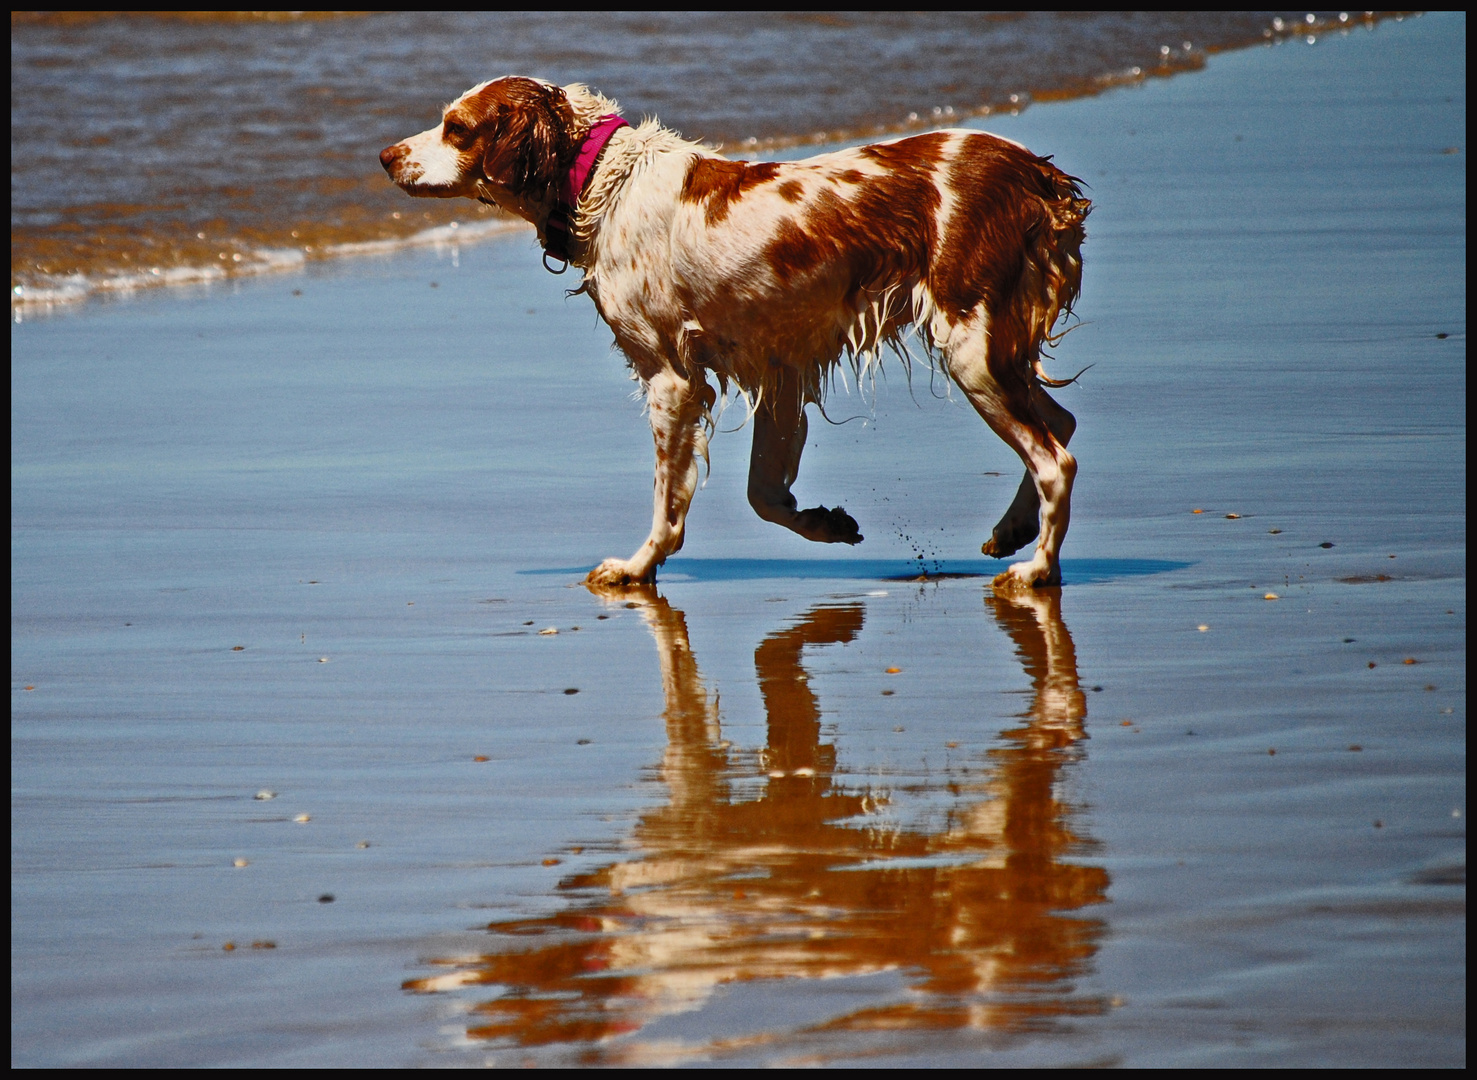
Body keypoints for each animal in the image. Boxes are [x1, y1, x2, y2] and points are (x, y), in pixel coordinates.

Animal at [381, 77, 1087, 590]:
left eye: (456, 128)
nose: (385, 157)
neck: (604, 182)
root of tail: (1032, 170)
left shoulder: (671, 379)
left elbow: (670, 503)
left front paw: (638, 568)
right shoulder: (777, 367)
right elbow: (763, 495)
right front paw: (827, 524)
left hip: (972, 349)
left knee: (1056, 459)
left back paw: (1038, 569)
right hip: (995, 349)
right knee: (1063, 422)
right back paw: (1012, 530)